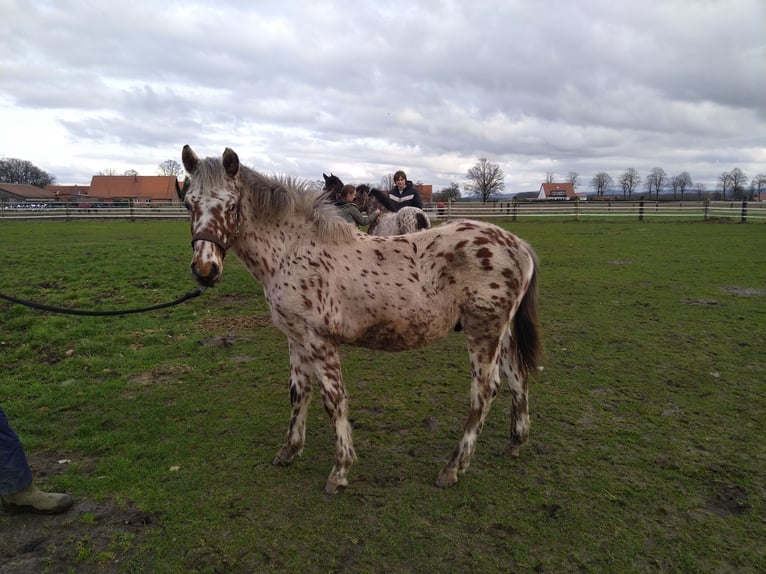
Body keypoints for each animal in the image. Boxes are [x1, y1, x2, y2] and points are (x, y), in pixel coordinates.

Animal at [181, 146, 544, 498]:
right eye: (188, 204)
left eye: (231, 205)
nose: (205, 270)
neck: (293, 251)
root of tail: (519, 245)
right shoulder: (296, 337)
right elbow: (299, 393)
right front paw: (289, 452)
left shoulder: (320, 340)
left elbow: (334, 400)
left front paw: (340, 471)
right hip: (501, 333)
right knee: (517, 377)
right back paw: (515, 443)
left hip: (483, 331)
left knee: (485, 391)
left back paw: (452, 468)